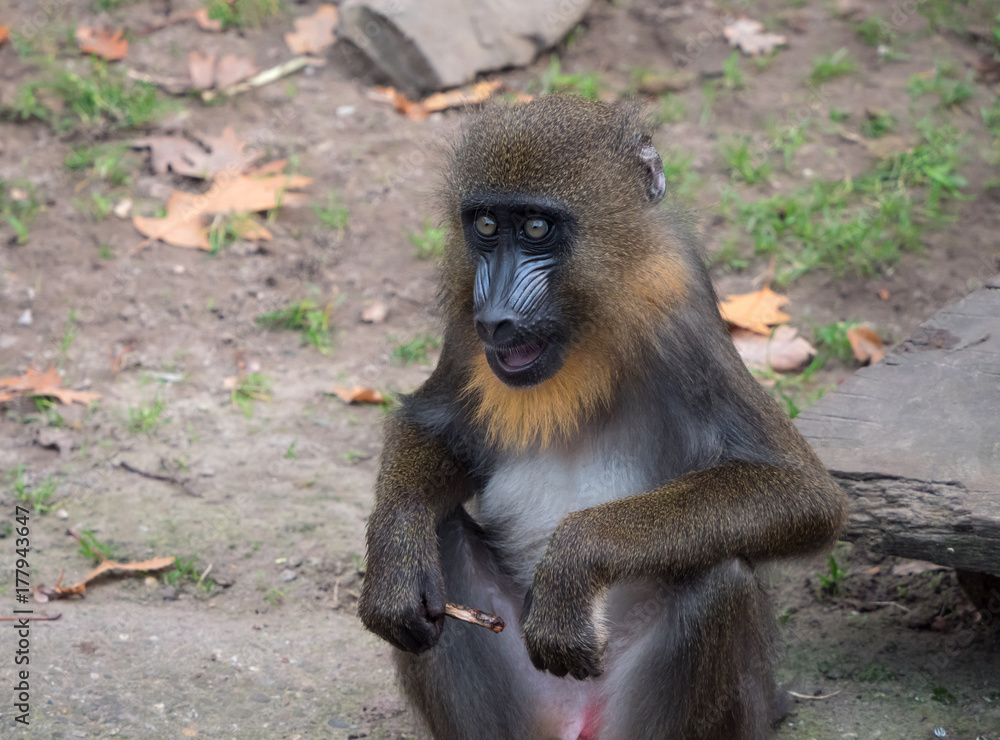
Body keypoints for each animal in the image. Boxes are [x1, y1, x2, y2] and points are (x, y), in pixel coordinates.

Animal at [357, 95, 849, 740]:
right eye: (486, 226)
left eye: (536, 228)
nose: (496, 316)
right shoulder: (464, 332)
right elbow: (432, 428)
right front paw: (394, 562)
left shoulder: (679, 320)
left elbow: (801, 490)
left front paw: (574, 561)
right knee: (440, 536)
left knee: (717, 579)